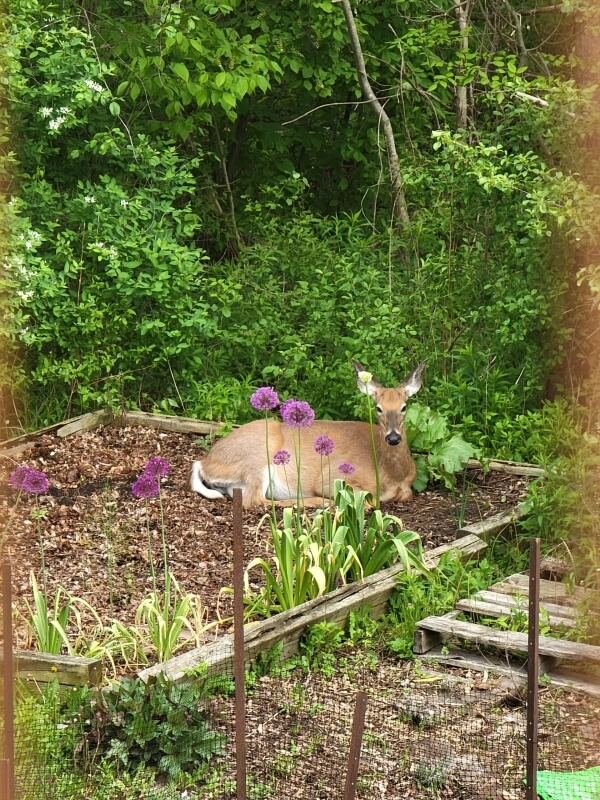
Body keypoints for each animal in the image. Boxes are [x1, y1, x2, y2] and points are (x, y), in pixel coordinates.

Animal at [190, 360, 426, 508]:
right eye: (378, 408)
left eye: (404, 407)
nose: (393, 438)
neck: (389, 474)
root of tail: (205, 461)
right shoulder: (332, 475)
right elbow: (369, 501)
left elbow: (407, 494)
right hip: (261, 450)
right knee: (255, 501)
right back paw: (318, 502)